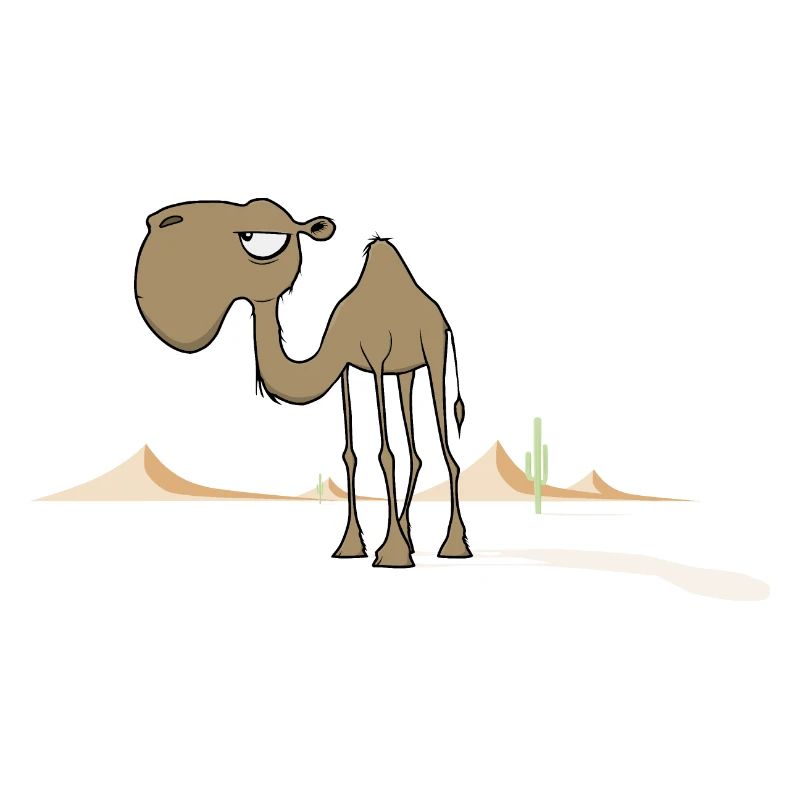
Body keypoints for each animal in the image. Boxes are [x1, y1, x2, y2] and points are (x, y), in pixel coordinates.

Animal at [134, 198, 470, 568]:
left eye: (254, 237)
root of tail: (440, 317)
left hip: (434, 353)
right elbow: (350, 454)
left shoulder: (377, 359)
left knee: (448, 454)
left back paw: (453, 547)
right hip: (406, 370)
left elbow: (385, 454)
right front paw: (351, 547)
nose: (162, 223)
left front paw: (391, 554)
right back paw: (412, 540)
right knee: (416, 453)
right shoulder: (348, 370)